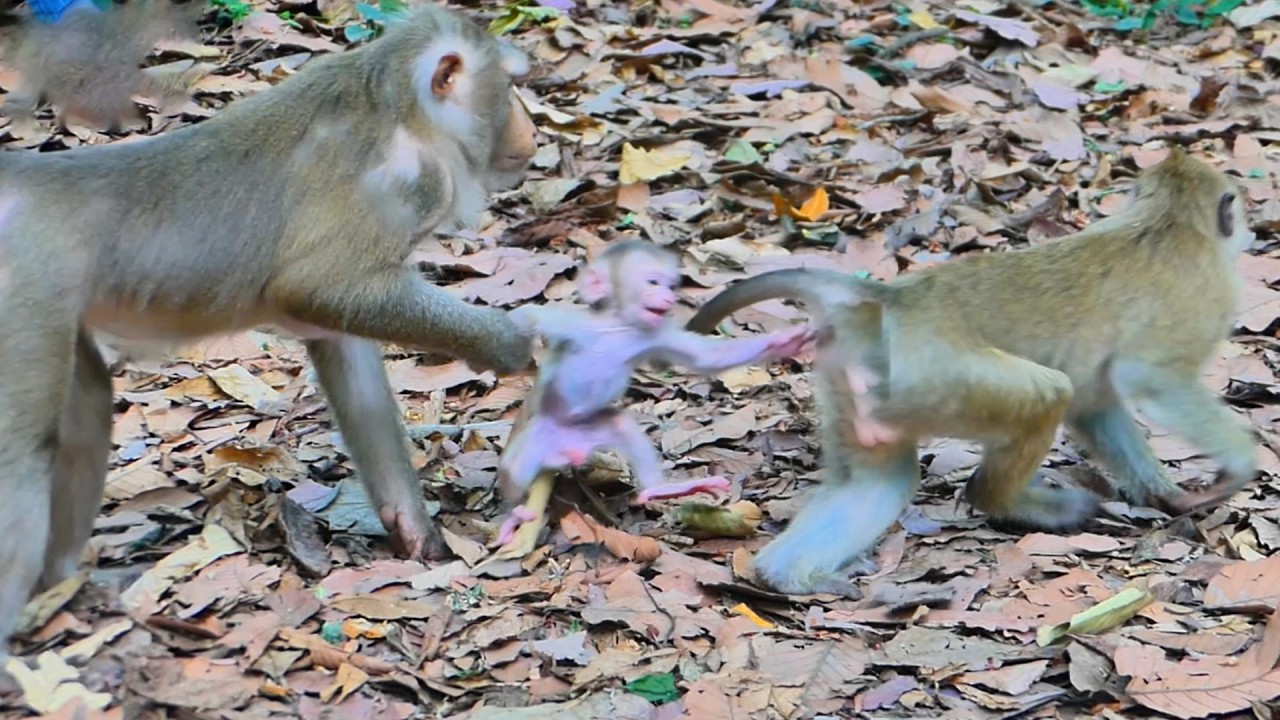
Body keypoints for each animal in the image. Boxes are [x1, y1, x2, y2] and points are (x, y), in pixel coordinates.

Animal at [0, 5, 539, 675]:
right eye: (510, 85)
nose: (532, 130)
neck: (401, 108)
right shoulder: (407, 184)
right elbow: (318, 288)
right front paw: (513, 343)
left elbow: (344, 350)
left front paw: (416, 534)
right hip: (23, 291)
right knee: (21, 456)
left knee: (84, 411)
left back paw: (63, 588)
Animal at [492, 241, 818, 544]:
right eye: (652, 282)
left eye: (670, 284)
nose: (669, 297)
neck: (620, 328)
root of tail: (566, 451)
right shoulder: (573, 323)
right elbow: (527, 317)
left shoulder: (656, 333)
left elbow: (706, 358)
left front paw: (783, 344)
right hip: (539, 436)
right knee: (514, 468)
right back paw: (514, 512)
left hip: (589, 431)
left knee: (620, 425)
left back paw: (659, 489)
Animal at [685, 148, 1258, 598]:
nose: (1250, 231)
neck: (1171, 218)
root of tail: (889, 299)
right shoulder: (1205, 294)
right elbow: (1149, 378)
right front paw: (1239, 465)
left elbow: (1098, 405)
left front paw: (1165, 493)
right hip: (943, 376)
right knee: (1046, 394)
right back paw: (1011, 503)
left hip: (866, 386)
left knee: (881, 481)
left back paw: (786, 577)